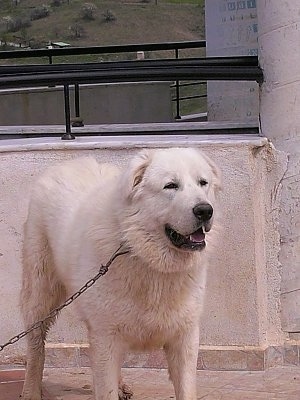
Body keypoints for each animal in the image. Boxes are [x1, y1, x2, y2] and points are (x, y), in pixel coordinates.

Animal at [19, 148, 220, 400]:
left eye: (203, 183)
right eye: (171, 186)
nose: (205, 210)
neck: (145, 257)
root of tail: (65, 164)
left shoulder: (184, 336)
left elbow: (185, 388)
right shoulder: (106, 335)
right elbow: (106, 387)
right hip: (41, 293)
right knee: (36, 343)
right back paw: (31, 390)